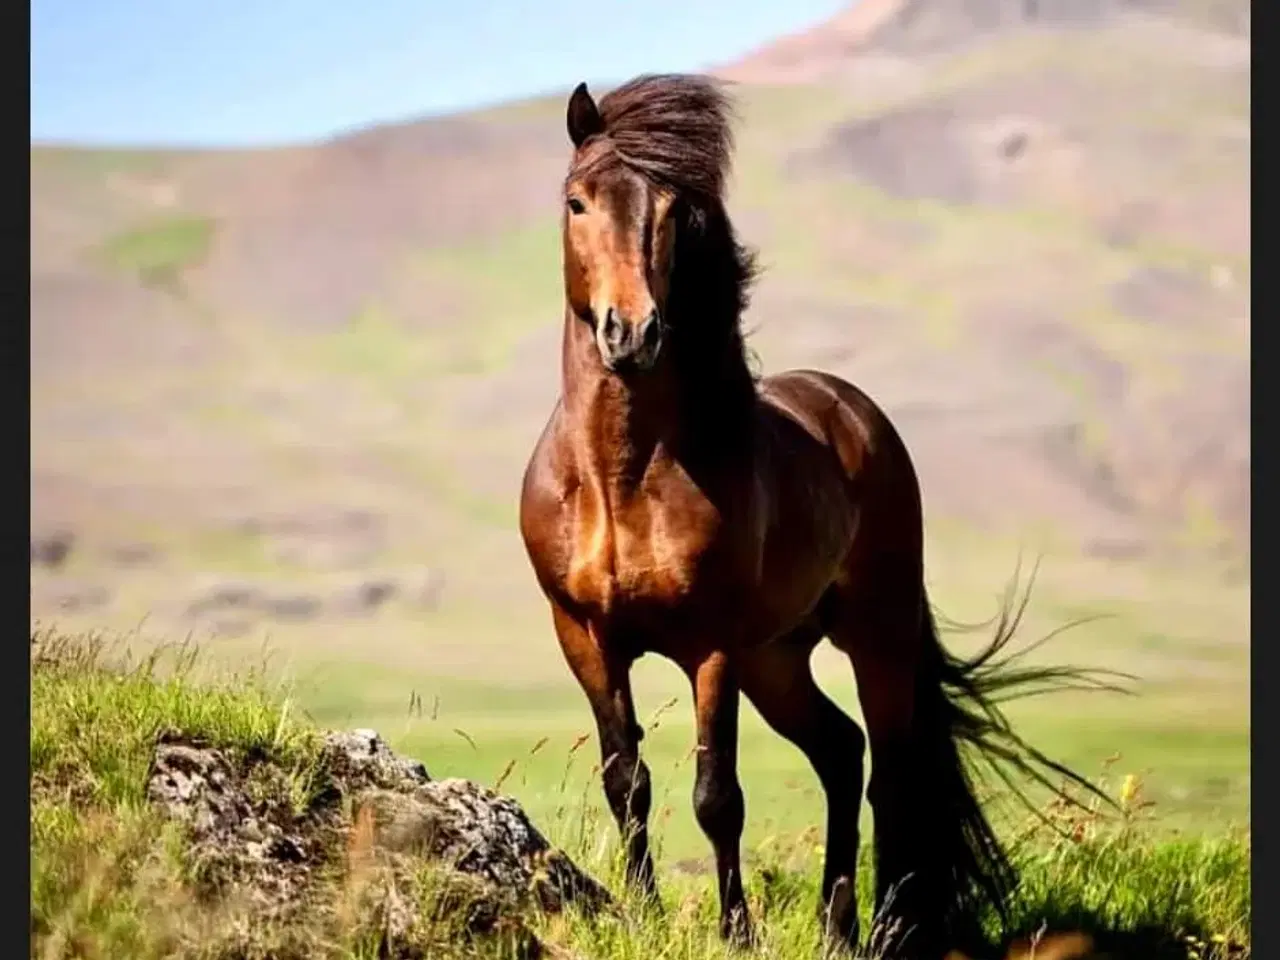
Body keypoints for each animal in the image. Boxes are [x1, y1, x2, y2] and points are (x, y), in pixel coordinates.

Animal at [519, 75, 1121, 960]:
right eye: (577, 201)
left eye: (670, 211)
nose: (632, 333)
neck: (618, 475)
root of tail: (855, 410)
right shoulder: (584, 636)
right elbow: (628, 780)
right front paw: (645, 914)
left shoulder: (711, 646)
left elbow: (717, 795)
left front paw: (735, 933)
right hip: (777, 656)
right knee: (841, 751)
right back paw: (839, 927)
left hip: (871, 635)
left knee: (891, 771)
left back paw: (891, 929)